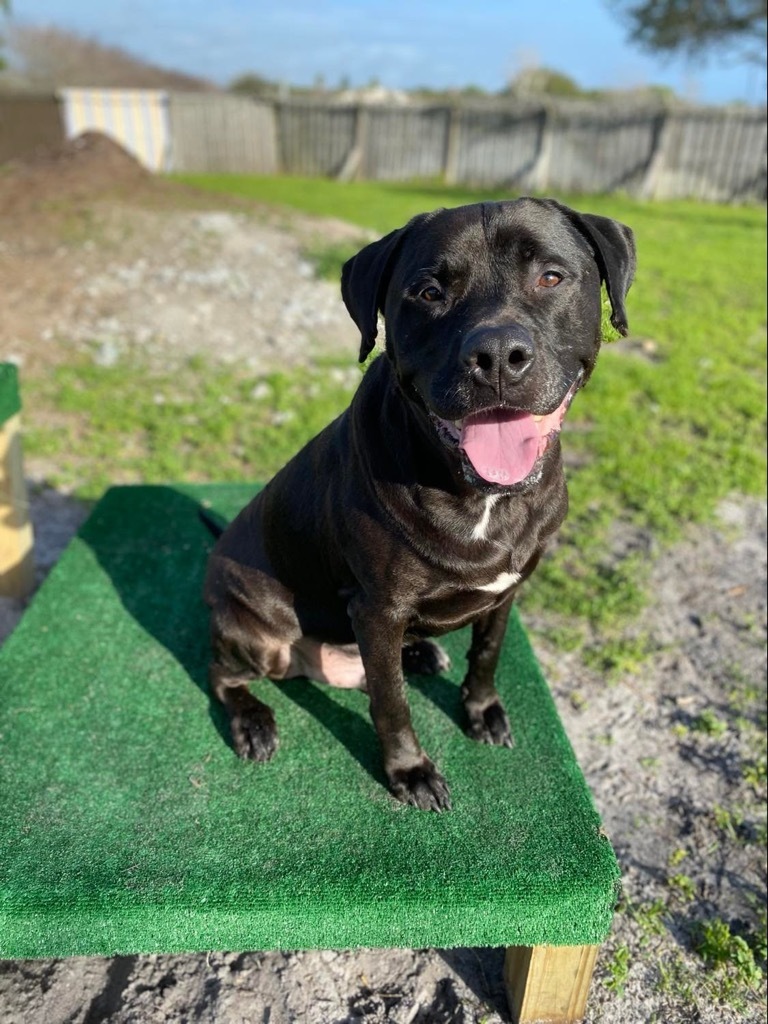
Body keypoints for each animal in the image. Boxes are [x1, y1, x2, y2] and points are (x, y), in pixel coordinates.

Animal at [204, 197, 638, 806]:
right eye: (429, 292)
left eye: (550, 277)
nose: (497, 355)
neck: (482, 500)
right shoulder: (377, 611)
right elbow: (391, 702)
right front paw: (409, 771)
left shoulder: (508, 591)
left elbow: (487, 654)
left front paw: (481, 710)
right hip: (258, 632)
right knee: (222, 674)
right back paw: (253, 720)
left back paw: (422, 653)